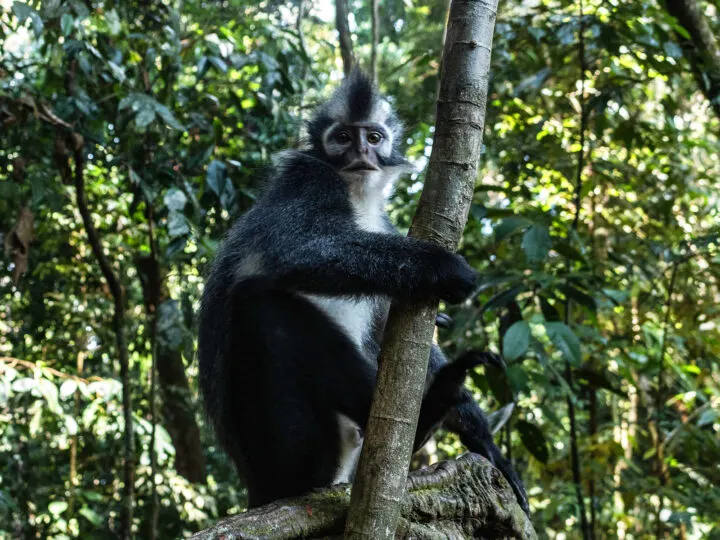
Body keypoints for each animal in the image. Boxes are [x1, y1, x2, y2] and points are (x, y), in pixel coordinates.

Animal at [197, 69, 528, 512]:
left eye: (373, 137)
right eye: (342, 137)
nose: (361, 154)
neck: (355, 193)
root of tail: (259, 489)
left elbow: (392, 318)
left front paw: (487, 443)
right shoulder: (309, 183)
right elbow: (293, 251)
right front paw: (443, 268)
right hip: (291, 451)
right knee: (261, 301)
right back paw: (429, 409)